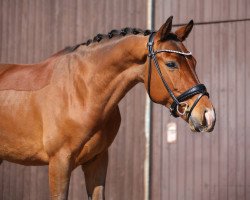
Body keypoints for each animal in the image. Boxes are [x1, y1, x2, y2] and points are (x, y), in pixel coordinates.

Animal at [0, 16, 215, 199]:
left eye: (194, 62)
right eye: (171, 64)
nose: (208, 115)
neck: (82, 92)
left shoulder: (98, 161)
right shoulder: (59, 163)